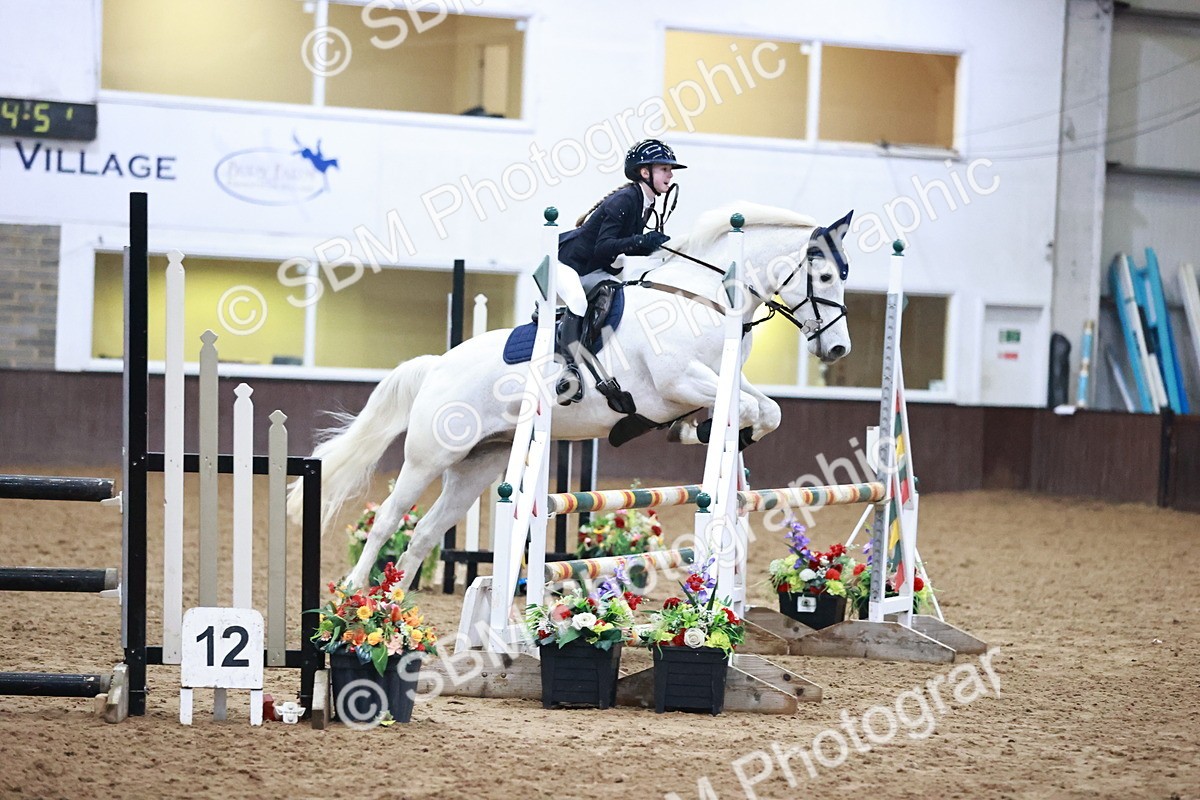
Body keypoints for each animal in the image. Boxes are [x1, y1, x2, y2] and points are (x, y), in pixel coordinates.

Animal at [287, 202, 855, 591]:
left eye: (844, 277)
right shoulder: (677, 383)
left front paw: (713, 432)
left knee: (425, 533)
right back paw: (354, 593)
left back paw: (393, 608)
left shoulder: (721, 379)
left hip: (476, 466)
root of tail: (438, 366)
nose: (838, 349)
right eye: (825, 275)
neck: (702, 298)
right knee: (388, 519)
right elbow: (752, 407)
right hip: (430, 456)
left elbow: (769, 409)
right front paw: (715, 430)